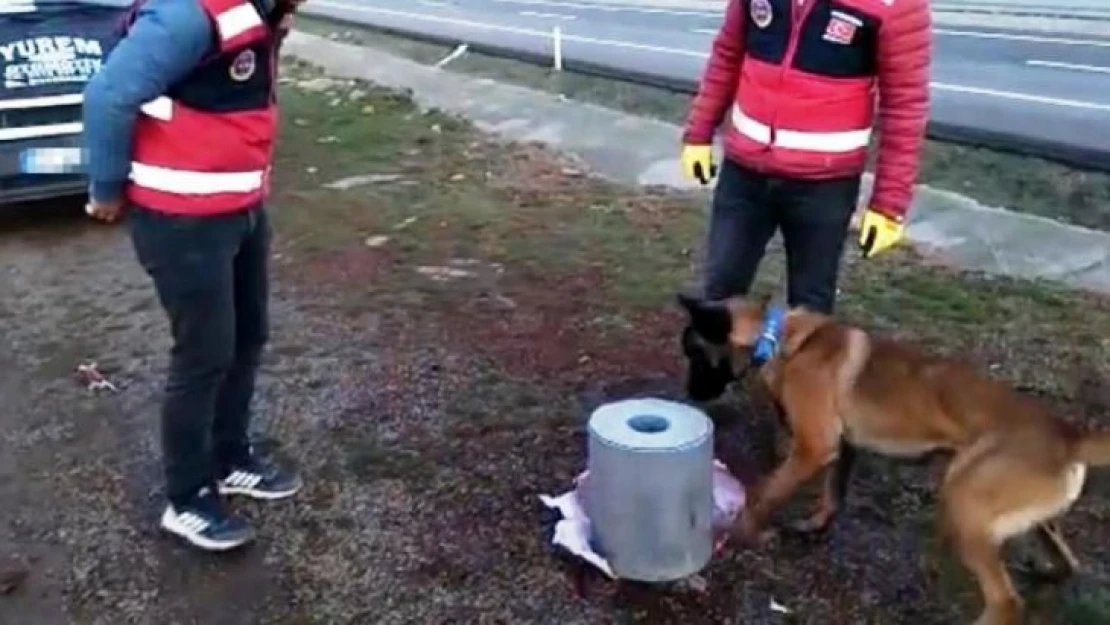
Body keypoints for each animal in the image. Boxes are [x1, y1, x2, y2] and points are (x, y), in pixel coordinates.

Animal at [674, 293, 1110, 625]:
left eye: (694, 352)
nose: (689, 397)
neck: (780, 335)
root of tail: (1070, 434)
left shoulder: (813, 447)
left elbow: (766, 492)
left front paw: (744, 532)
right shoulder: (843, 447)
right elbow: (833, 493)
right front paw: (815, 524)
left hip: (964, 505)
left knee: (1006, 602)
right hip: (1028, 518)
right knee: (1068, 562)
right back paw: (1049, 571)